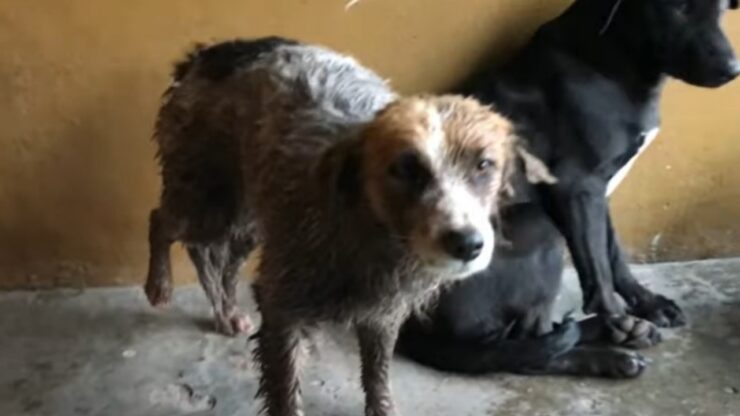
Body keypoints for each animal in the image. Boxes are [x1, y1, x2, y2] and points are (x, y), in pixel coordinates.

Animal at [145, 37, 552, 414]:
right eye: (407, 169)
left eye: (484, 165)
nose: (467, 243)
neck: (370, 229)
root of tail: (210, 52)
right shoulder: (283, 310)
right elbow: (286, 390)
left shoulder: (384, 314)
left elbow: (377, 375)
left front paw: (381, 406)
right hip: (206, 201)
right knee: (162, 223)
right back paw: (159, 285)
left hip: (248, 218)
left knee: (217, 260)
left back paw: (226, 311)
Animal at [398, 0, 740, 376]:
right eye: (677, 7)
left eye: (724, 7)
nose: (731, 70)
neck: (608, 59)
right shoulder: (578, 187)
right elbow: (599, 272)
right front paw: (617, 318)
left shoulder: (598, 191)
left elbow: (614, 253)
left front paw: (647, 305)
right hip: (539, 224)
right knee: (531, 349)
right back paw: (610, 352)